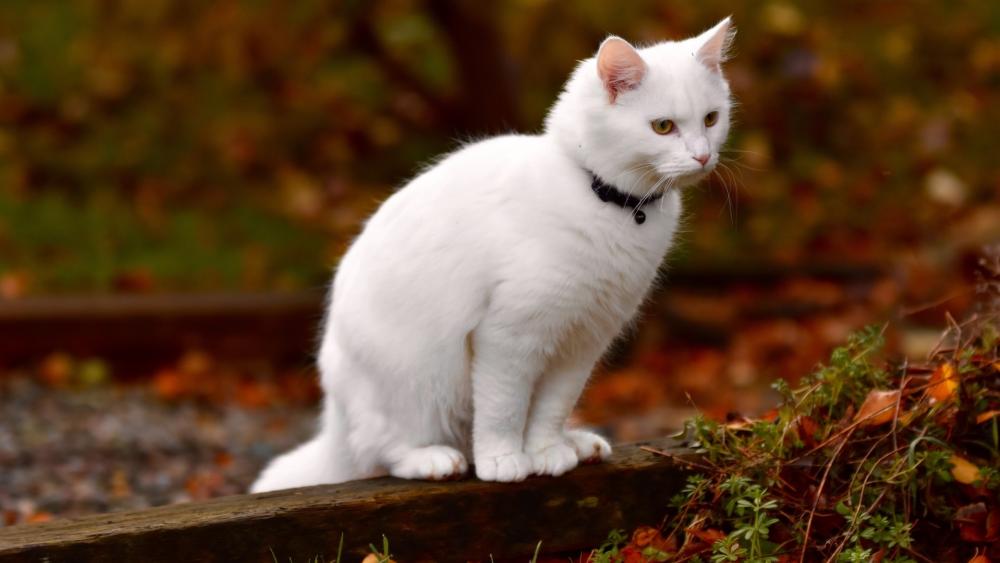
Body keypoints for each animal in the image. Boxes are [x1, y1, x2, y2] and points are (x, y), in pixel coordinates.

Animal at [250, 17, 736, 492]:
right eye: (663, 127)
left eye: (711, 119)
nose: (702, 156)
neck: (607, 200)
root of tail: (334, 416)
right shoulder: (508, 336)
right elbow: (504, 408)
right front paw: (504, 460)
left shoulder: (584, 340)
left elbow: (551, 408)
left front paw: (547, 451)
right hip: (418, 382)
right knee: (382, 450)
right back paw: (434, 460)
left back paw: (576, 443)